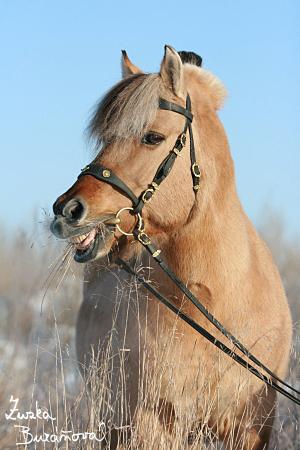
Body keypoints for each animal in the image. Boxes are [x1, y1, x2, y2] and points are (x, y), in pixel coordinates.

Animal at [50, 47, 292, 448]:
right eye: (105, 138)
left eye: (152, 137)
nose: (67, 210)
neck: (215, 301)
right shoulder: (154, 422)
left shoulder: (251, 426)